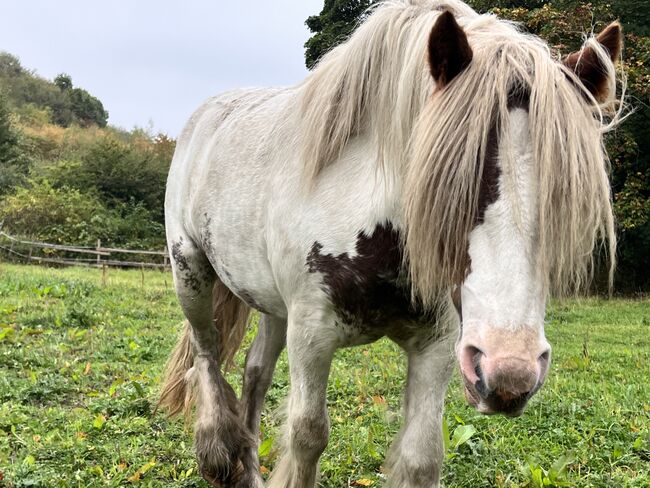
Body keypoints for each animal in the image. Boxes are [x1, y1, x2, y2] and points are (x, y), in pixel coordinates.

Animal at [158, 1, 624, 486]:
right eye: (445, 186)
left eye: (561, 198)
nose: (509, 372)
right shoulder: (311, 335)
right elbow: (307, 435)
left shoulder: (437, 344)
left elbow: (421, 455)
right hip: (191, 274)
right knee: (207, 353)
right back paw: (219, 451)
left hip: (273, 306)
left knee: (255, 371)